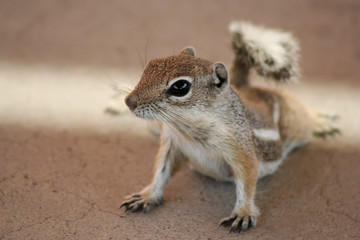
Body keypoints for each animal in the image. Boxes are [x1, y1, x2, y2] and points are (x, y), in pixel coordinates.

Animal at [119, 22, 338, 232]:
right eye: (150, 65)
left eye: (180, 87)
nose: (129, 102)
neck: (188, 128)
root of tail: (244, 87)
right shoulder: (171, 142)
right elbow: (161, 172)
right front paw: (146, 196)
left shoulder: (240, 148)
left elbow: (247, 181)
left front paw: (243, 213)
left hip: (294, 119)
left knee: (302, 114)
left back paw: (320, 120)